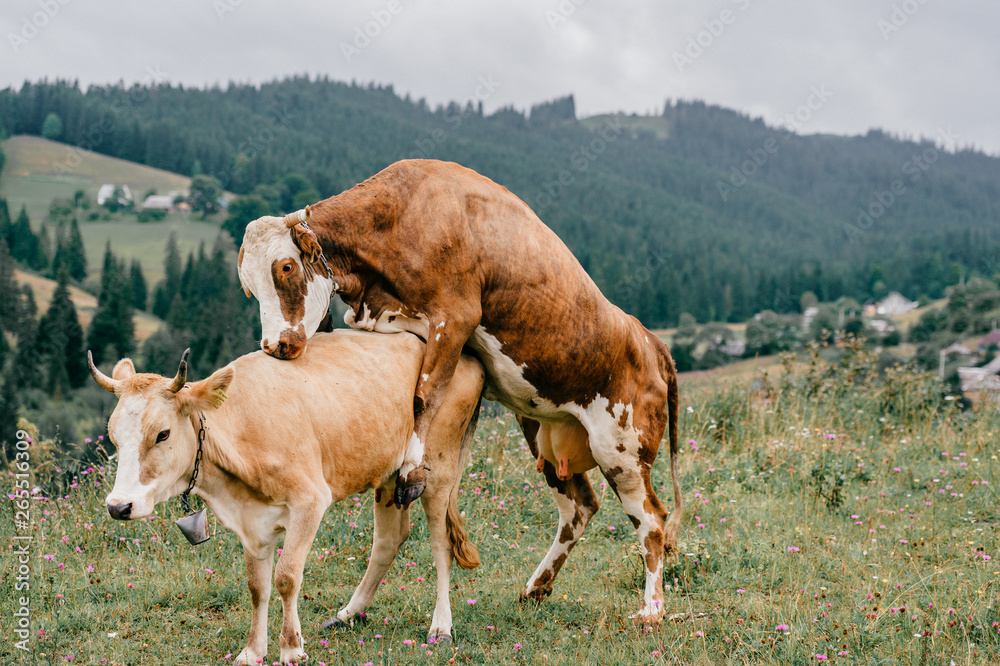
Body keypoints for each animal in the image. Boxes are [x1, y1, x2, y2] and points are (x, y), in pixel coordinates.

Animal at [90, 330, 485, 665]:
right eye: (113, 437)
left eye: (163, 433)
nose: (118, 506)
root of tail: (465, 357)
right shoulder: (252, 521)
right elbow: (256, 586)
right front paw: (253, 650)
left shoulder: (310, 501)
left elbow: (286, 577)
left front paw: (291, 647)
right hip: (390, 477)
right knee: (389, 539)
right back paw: (348, 614)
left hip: (439, 468)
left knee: (440, 543)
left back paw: (441, 626)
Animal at [237, 158, 683, 628]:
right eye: (249, 285)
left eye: (285, 268)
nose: (275, 346)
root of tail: (649, 338)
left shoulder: (454, 317)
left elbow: (425, 394)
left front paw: (412, 465)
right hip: (542, 427)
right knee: (579, 507)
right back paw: (536, 587)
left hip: (622, 448)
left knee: (652, 519)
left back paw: (651, 610)